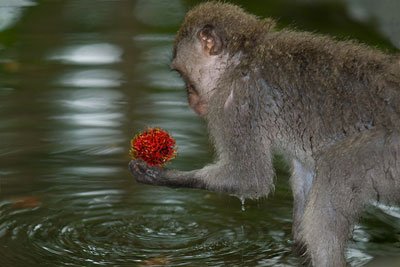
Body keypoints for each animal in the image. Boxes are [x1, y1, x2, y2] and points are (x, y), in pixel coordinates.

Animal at [129, 2, 400, 267]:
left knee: (337, 168)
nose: (190, 100)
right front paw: (296, 247)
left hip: (386, 151)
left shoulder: (235, 103)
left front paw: (163, 175)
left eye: (184, 76)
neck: (241, 60)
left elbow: (250, 179)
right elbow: (304, 174)